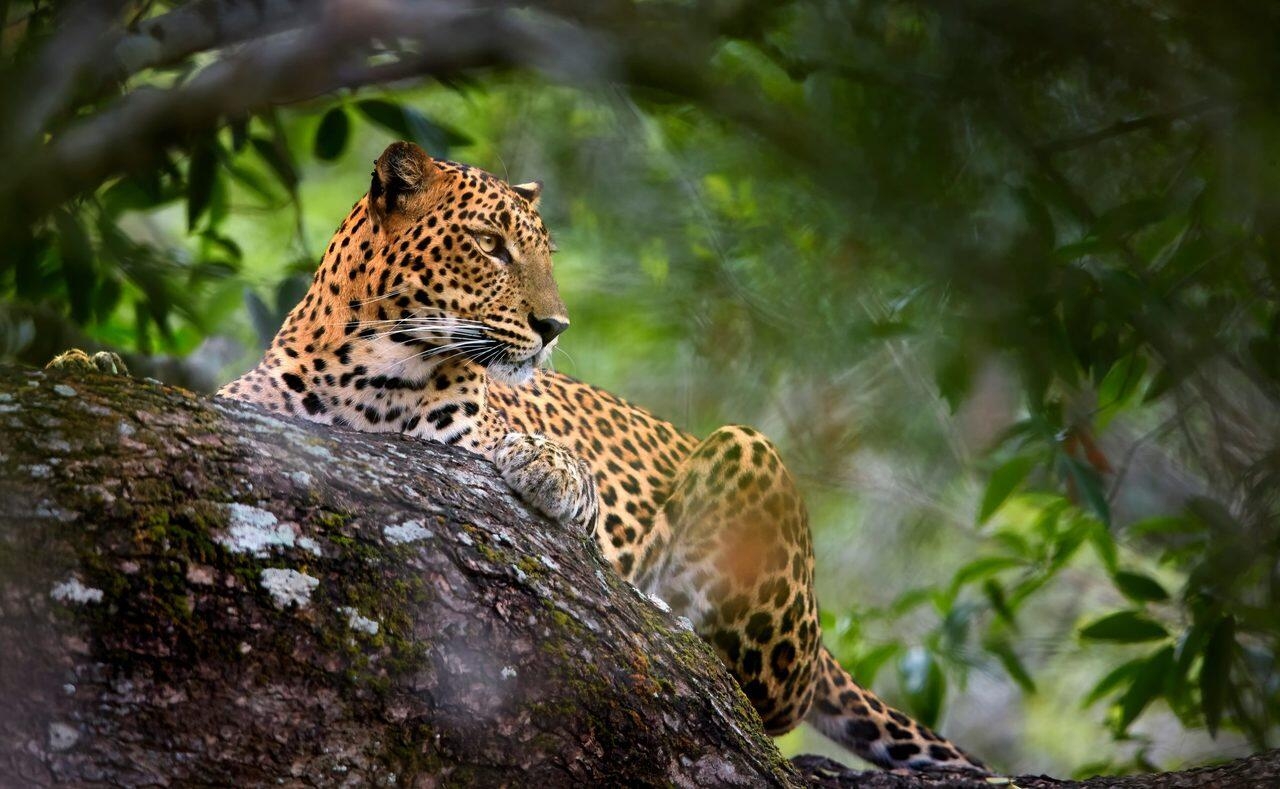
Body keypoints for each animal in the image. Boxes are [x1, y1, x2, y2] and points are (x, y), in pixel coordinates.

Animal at [50, 141, 988, 773]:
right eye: (492, 245)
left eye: (542, 253)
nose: (555, 327)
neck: (363, 363)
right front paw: (84, 363)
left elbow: (509, 444)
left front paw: (551, 469)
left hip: (747, 455)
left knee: (765, 695)